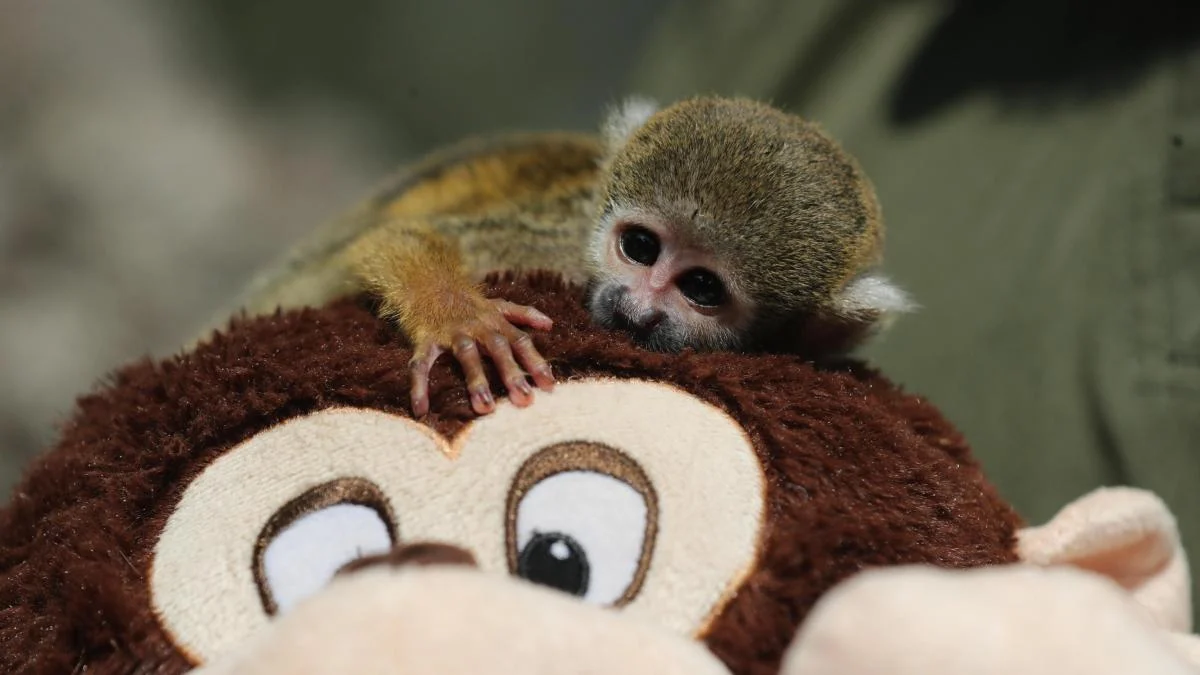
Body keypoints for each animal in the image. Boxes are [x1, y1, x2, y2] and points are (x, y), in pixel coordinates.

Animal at [222, 96, 913, 418]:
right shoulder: (555, 244)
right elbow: (407, 237)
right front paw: (460, 320)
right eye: (640, 247)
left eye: (702, 289)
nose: (636, 307)